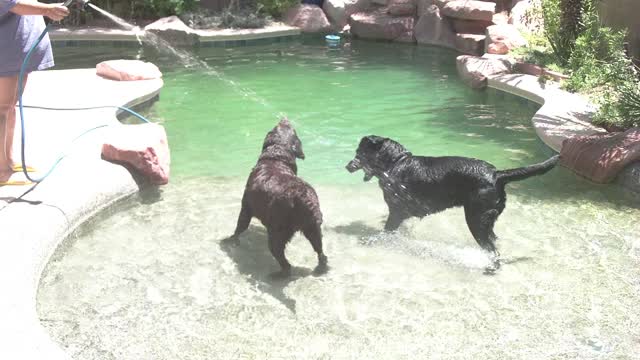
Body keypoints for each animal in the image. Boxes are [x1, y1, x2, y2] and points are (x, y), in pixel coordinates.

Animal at [230, 119, 328, 274]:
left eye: (279, 126)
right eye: (288, 127)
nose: (284, 118)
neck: (275, 159)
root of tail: (302, 196)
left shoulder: (246, 207)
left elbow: (240, 227)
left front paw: (232, 240)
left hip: (277, 234)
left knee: (285, 263)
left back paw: (276, 274)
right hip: (313, 229)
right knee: (321, 253)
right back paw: (321, 267)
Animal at [344, 135, 560, 270]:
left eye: (359, 152)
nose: (347, 166)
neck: (395, 164)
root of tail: (497, 174)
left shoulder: (396, 212)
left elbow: (386, 231)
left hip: (476, 219)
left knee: (492, 250)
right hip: (487, 220)